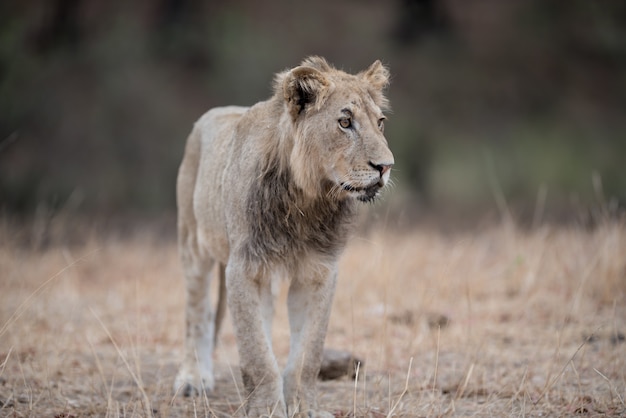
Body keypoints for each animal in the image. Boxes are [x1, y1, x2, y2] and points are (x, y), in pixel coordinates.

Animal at [173, 56, 392, 418]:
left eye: (381, 122)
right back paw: (193, 378)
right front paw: (266, 409)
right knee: (196, 315)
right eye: (345, 122)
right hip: (193, 246)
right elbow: (256, 353)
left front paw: (304, 407)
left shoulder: (318, 272)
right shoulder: (244, 268)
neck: (308, 200)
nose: (385, 166)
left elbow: (307, 354)